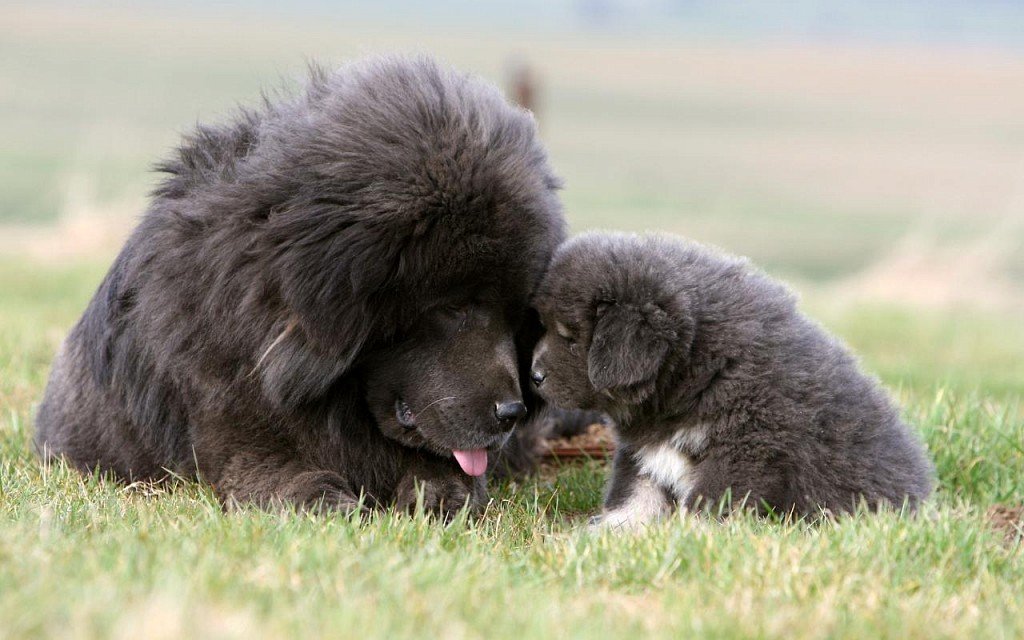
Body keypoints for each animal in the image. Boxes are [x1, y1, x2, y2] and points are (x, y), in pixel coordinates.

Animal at [36, 56, 569, 514]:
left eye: (515, 316)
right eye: (454, 307)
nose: (514, 411)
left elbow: (449, 475)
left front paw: (441, 494)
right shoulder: (235, 428)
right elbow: (290, 480)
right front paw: (333, 502)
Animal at [528, 232, 937, 528]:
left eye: (570, 337)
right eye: (545, 326)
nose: (533, 376)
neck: (695, 371)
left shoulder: (745, 451)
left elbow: (705, 507)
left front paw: (687, 539)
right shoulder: (645, 453)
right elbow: (633, 499)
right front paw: (607, 535)